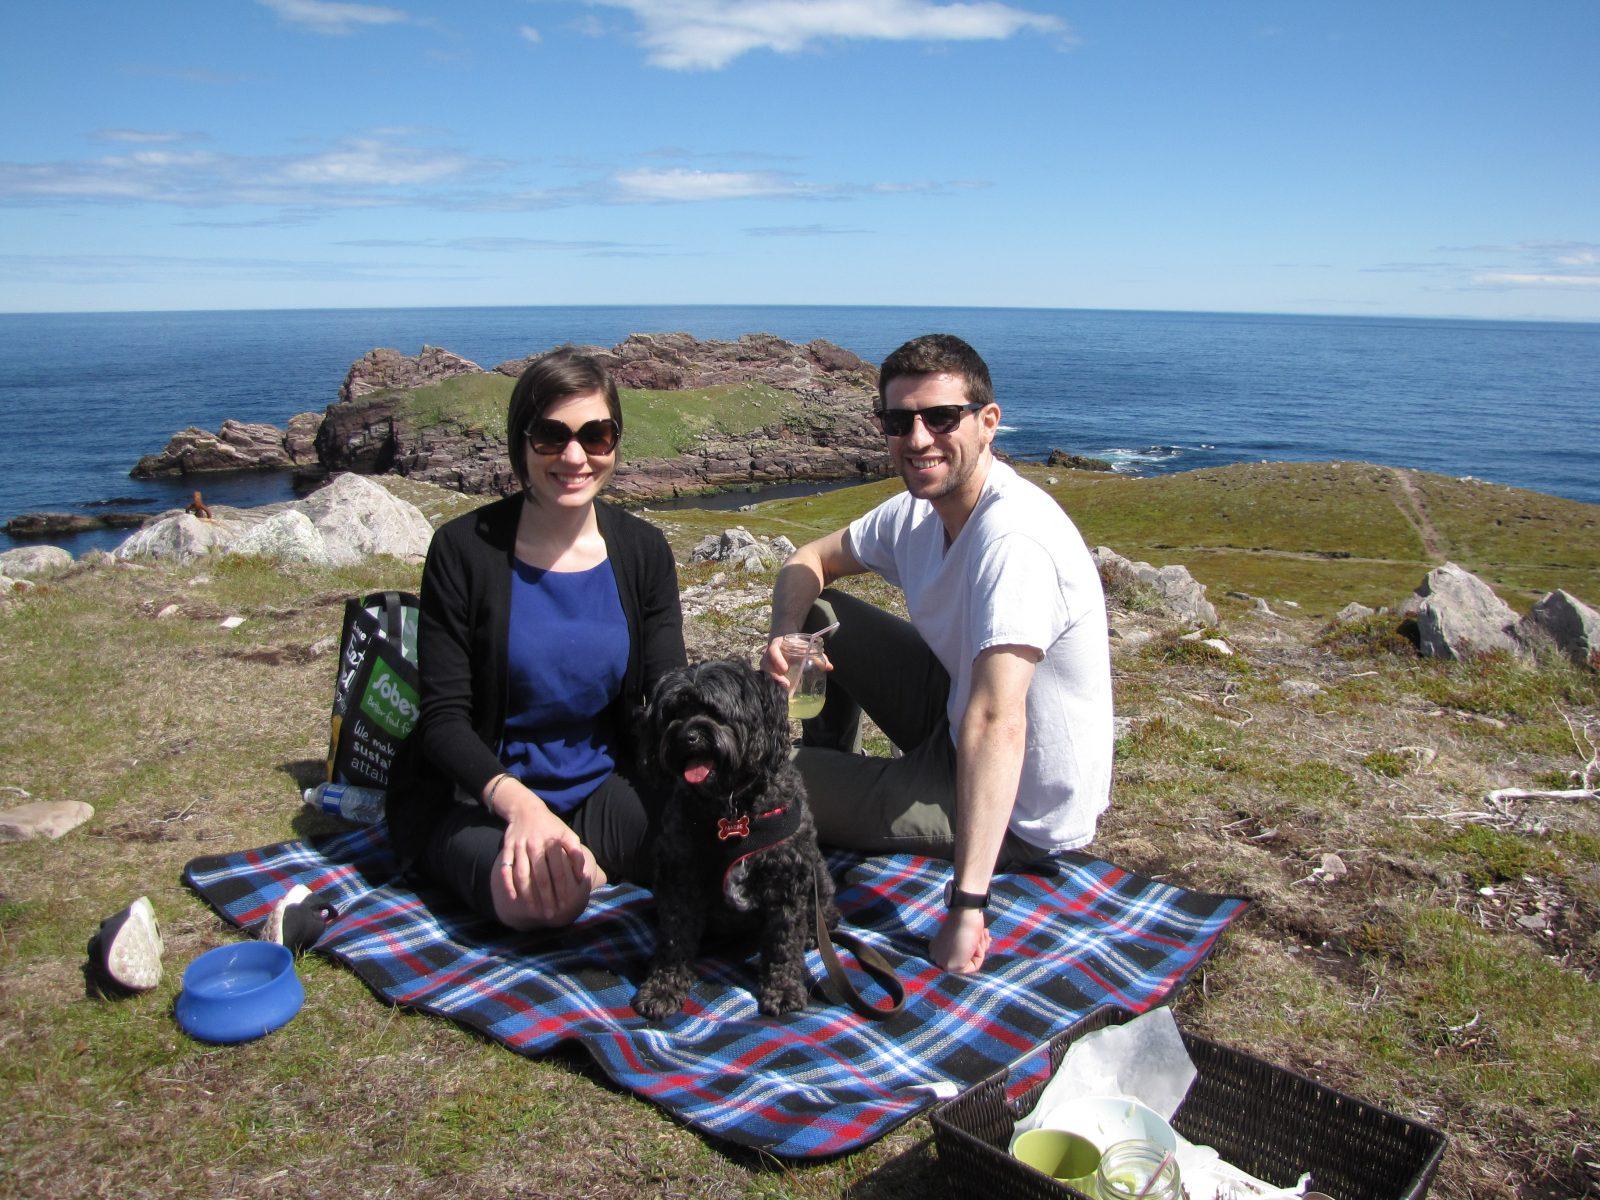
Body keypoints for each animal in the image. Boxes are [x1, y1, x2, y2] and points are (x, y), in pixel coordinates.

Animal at [633, 662, 844, 1017]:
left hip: (819, 881)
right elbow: (675, 938)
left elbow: (783, 942)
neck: (732, 805)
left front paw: (783, 988)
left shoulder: (786, 882)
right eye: (674, 713)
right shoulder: (680, 877)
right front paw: (663, 987)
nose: (687, 736)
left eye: (715, 710)